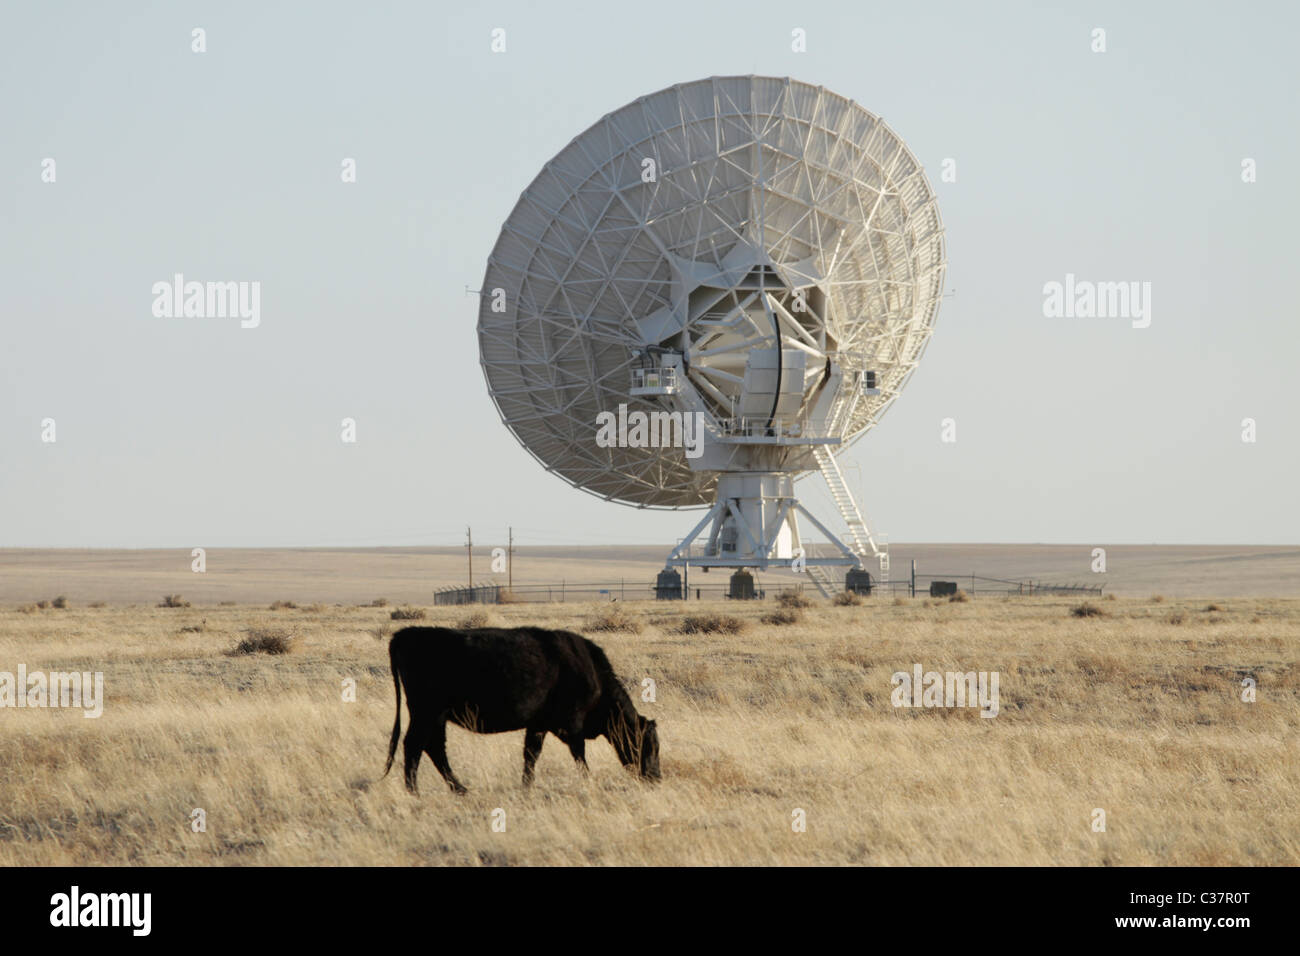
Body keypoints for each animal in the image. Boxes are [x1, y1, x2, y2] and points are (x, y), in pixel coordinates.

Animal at [379, 624, 655, 796]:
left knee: (433, 748)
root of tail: (406, 634)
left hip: (435, 716)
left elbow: (531, 755)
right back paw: (415, 791)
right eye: (650, 746)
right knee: (416, 745)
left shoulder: (538, 724)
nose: (656, 777)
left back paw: (458, 789)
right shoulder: (572, 723)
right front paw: (587, 780)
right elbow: (579, 754)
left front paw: (526, 786)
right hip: (427, 712)